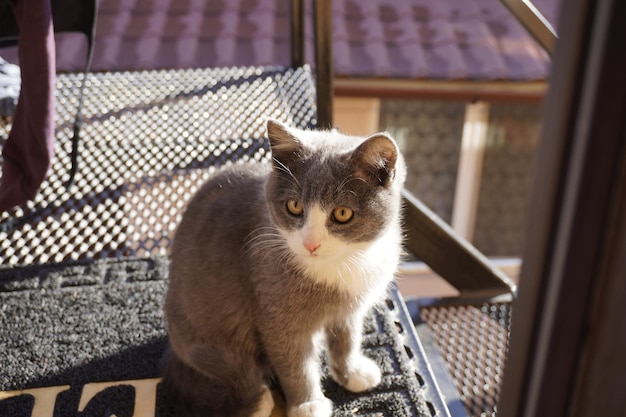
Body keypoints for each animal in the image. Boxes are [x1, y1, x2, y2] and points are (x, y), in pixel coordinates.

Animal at [162, 118, 404, 416]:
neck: (341, 265)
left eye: (342, 213)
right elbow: (294, 361)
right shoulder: (274, 308)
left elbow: (347, 338)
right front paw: (308, 404)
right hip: (210, 340)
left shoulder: (350, 308)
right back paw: (259, 400)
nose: (310, 243)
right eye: (294, 206)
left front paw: (351, 372)